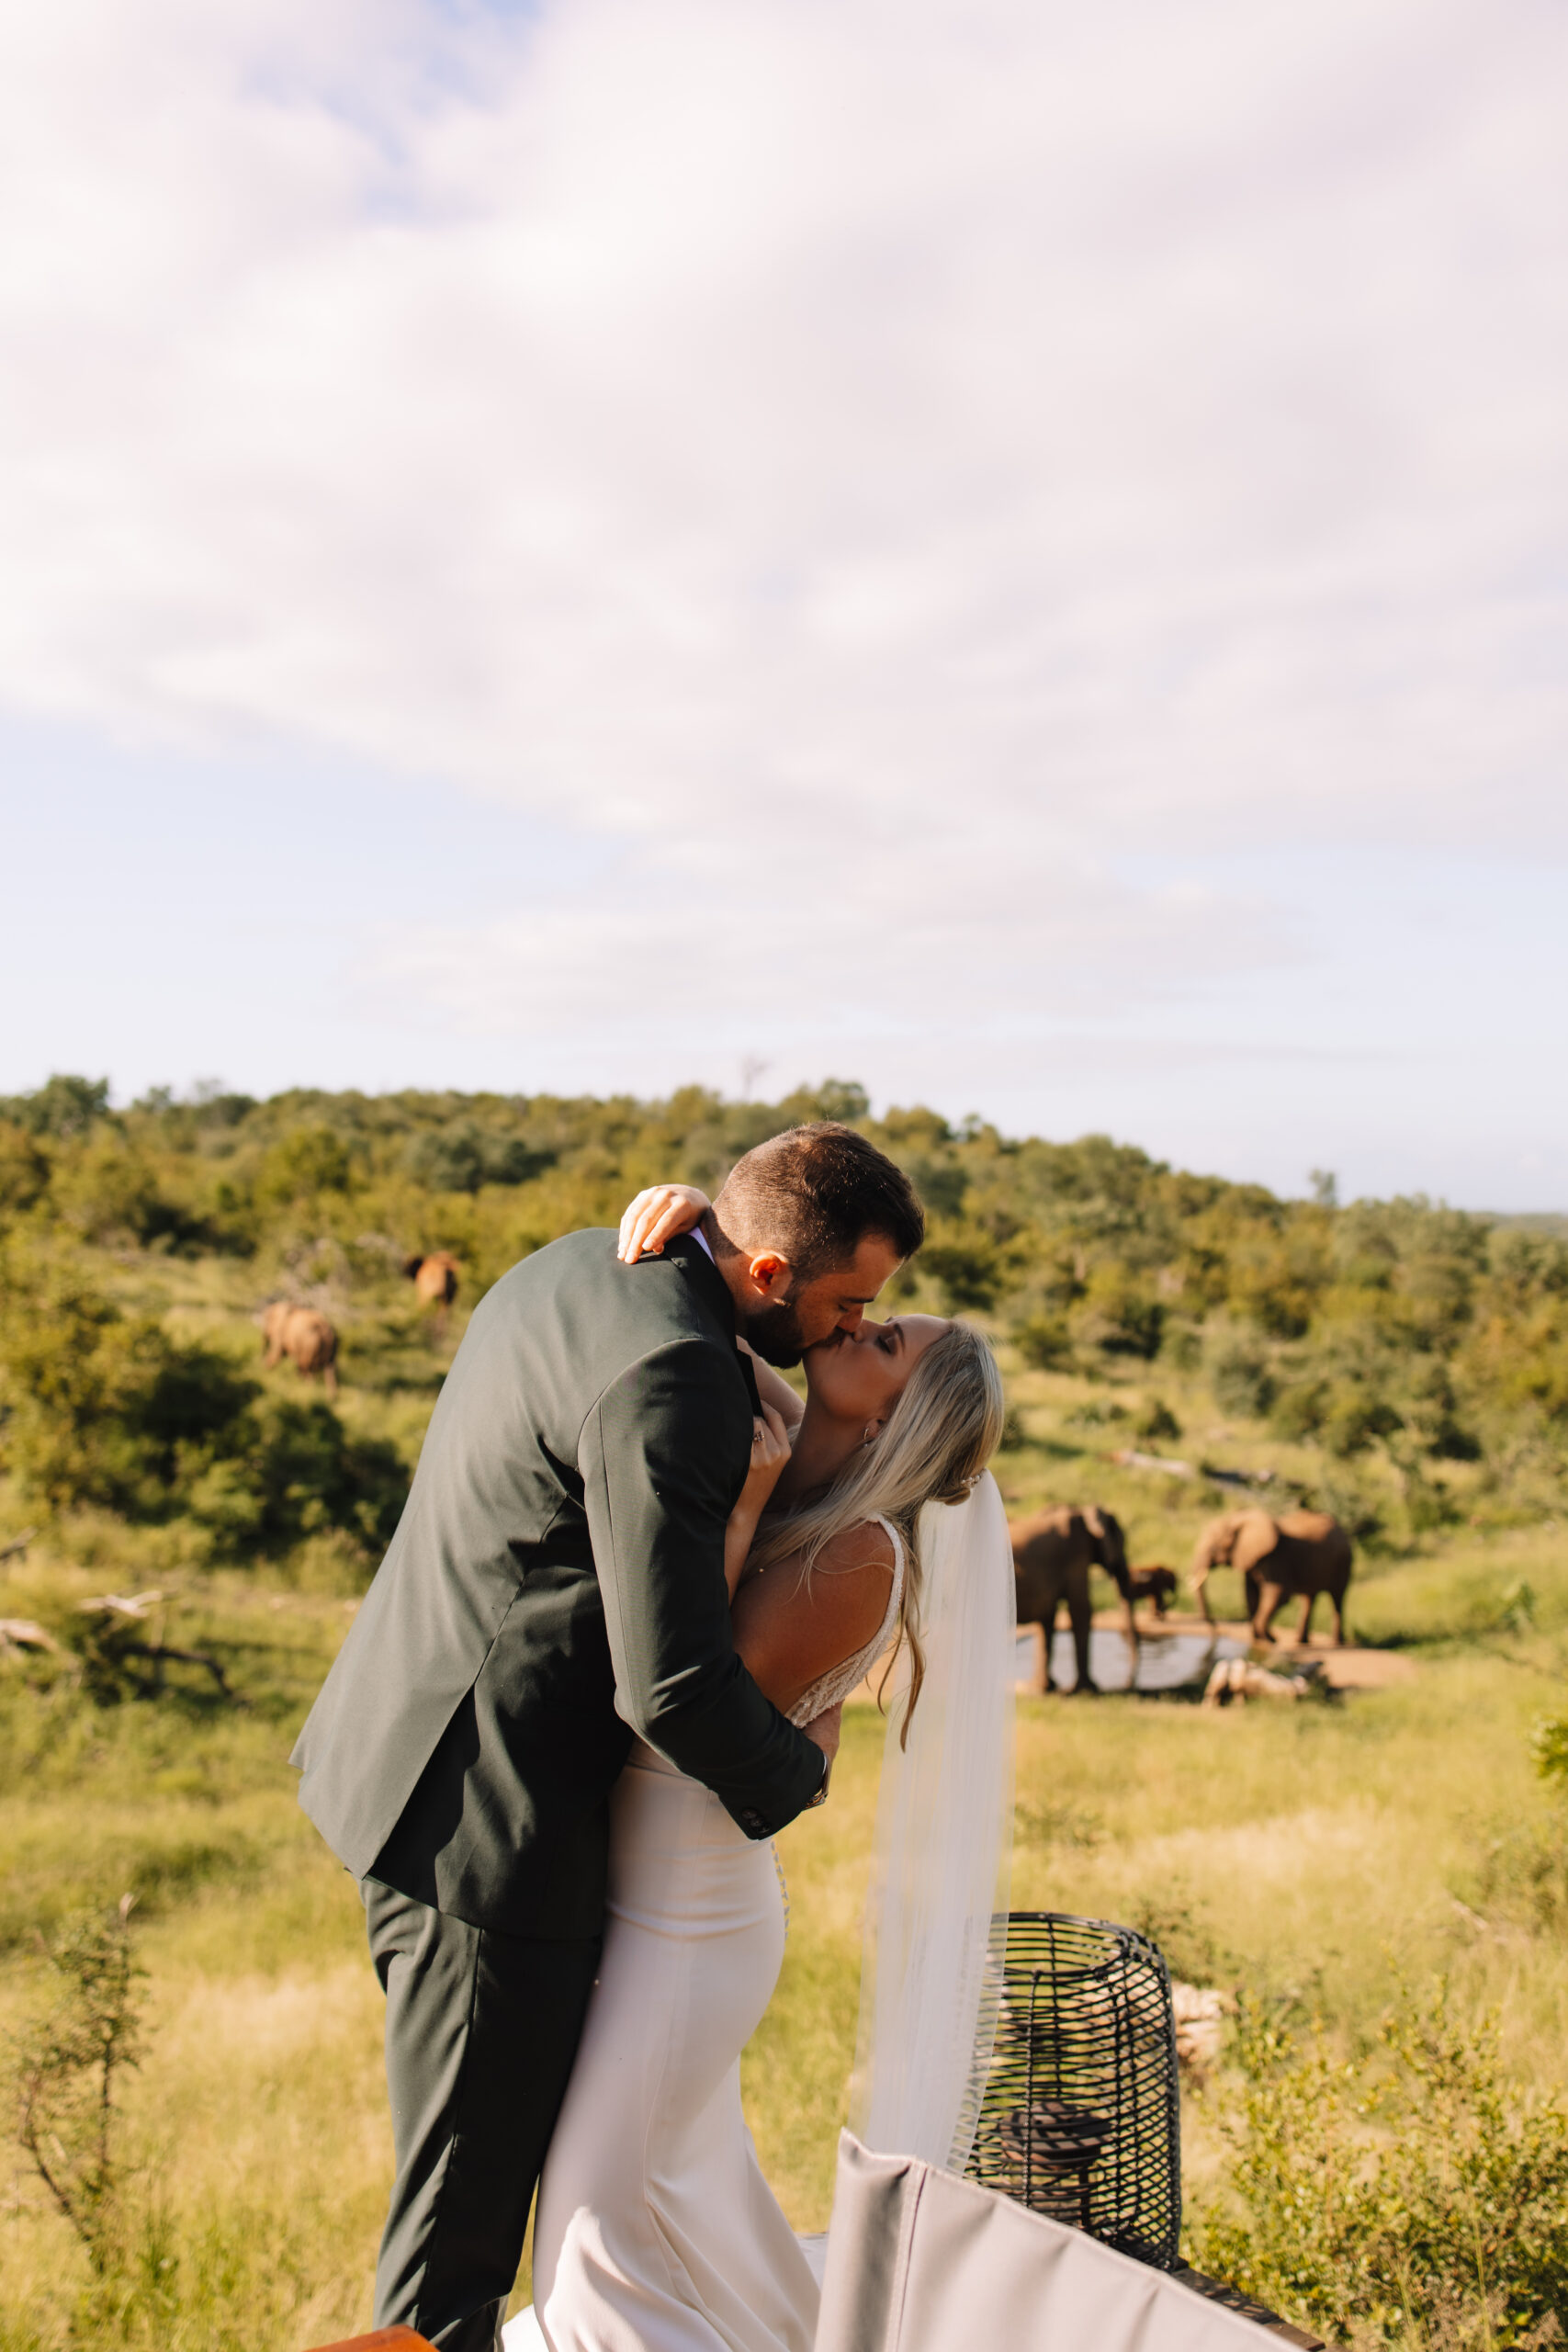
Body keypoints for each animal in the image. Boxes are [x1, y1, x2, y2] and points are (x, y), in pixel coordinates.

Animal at [1189, 1514, 1354, 1646]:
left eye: (1213, 1549)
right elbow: (1251, 1594)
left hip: (1343, 1562)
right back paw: (1301, 1641)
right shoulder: (1253, 1561)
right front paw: (1260, 1637)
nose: (1216, 1631)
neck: (1239, 1517)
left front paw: (1270, 1639)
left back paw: (1336, 1643)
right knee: (1309, 1599)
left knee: (1337, 1599)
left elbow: (1279, 1595)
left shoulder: (1276, 1559)